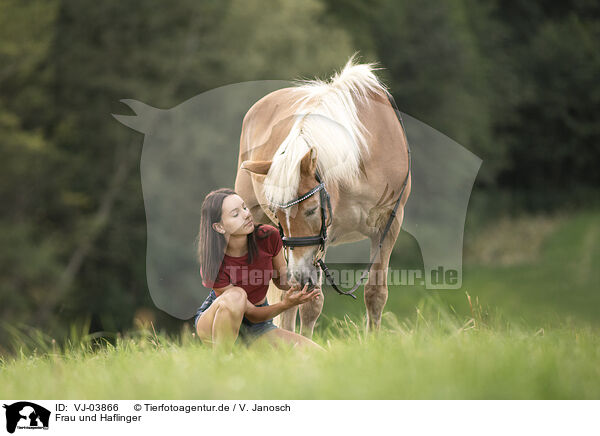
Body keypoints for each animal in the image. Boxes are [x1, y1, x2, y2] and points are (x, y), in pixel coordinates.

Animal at [234, 57, 412, 338]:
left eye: (310, 210)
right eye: (279, 215)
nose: (298, 275)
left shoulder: (389, 224)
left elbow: (375, 294)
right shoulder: (323, 236)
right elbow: (310, 304)